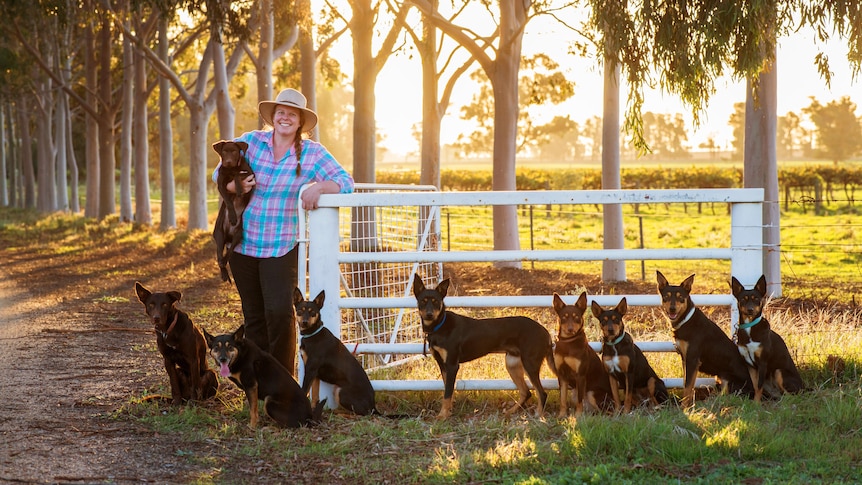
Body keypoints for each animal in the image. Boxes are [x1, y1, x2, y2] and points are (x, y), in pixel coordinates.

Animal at [213, 140, 255, 282]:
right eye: (224, 151)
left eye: (235, 152)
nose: (229, 162)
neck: (231, 169)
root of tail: (229, 236)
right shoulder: (221, 184)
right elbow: (228, 201)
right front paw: (232, 216)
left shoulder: (251, 176)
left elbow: (238, 174)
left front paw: (239, 188)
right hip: (219, 235)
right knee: (219, 255)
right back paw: (224, 272)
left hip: (239, 234)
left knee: (229, 253)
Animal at [296, 288, 380, 416]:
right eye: (300, 310)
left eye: (312, 312)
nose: (305, 322)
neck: (313, 333)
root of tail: (373, 406)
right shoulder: (315, 374)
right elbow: (315, 396)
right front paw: (313, 410)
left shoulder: (311, 369)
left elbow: (304, 390)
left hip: (341, 392)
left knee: (361, 414)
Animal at [414, 274, 560, 418]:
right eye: (423, 301)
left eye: (436, 301)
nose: (429, 314)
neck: (439, 326)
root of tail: (546, 332)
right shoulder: (442, 365)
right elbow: (448, 392)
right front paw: (448, 412)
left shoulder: (452, 365)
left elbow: (447, 394)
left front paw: (442, 416)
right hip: (512, 363)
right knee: (526, 392)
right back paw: (510, 412)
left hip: (530, 363)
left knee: (541, 393)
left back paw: (539, 416)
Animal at [660, 270, 752, 406]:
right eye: (666, 296)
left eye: (680, 297)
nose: (672, 309)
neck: (686, 320)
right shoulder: (685, 359)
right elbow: (686, 384)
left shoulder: (693, 359)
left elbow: (688, 386)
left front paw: (684, 407)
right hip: (719, 378)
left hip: (728, 380)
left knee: (728, 396)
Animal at [732, 274, 808, 402]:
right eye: (743, 299)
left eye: (756, 299)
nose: (750, 310)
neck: (750, 327)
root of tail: (803, 387)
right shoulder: (749, 364)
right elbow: (755, 385)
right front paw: (755, 402)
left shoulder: (762, 362)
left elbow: (759, 385)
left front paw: (756, 403)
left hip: (778, 371)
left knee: (791, 395)